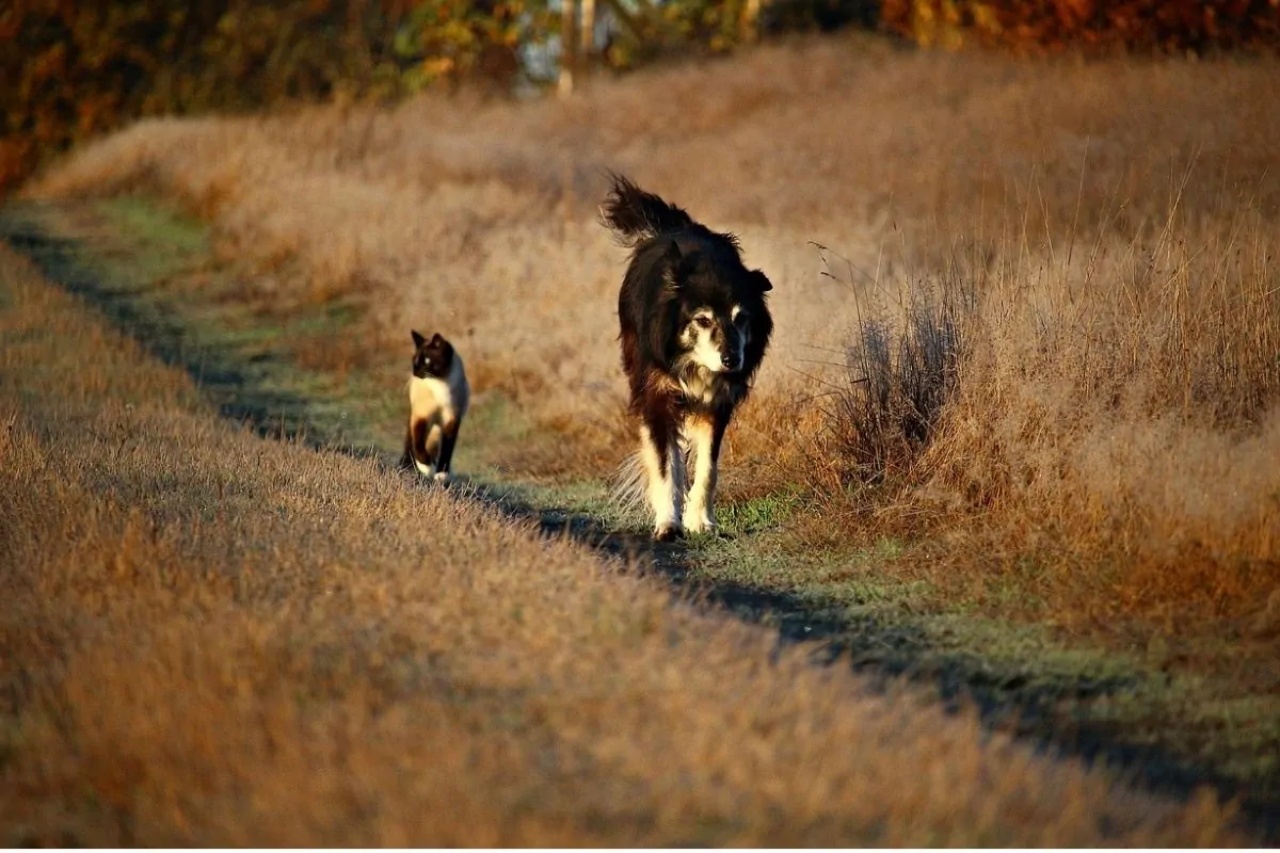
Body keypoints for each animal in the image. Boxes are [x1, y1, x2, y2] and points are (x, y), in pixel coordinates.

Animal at [399, 327, 471, 481]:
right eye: (414, 361)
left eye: (426, 361)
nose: (415, 373)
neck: (440, 384)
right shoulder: (421, 417)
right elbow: (418, 445)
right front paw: (426, 468)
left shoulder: (451, 420)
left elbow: (447, 449)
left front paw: (441, 474)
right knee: (411, 443)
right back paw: (407, 467)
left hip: (437, 430)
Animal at [596, 172, 768, 537]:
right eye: (702, 320)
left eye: (741, 318)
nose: (732, 361)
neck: (693, 363)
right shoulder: (657, 394)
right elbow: (665, 464)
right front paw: (668, 524)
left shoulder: (716, 403)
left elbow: (707, 466)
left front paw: (700, 521)